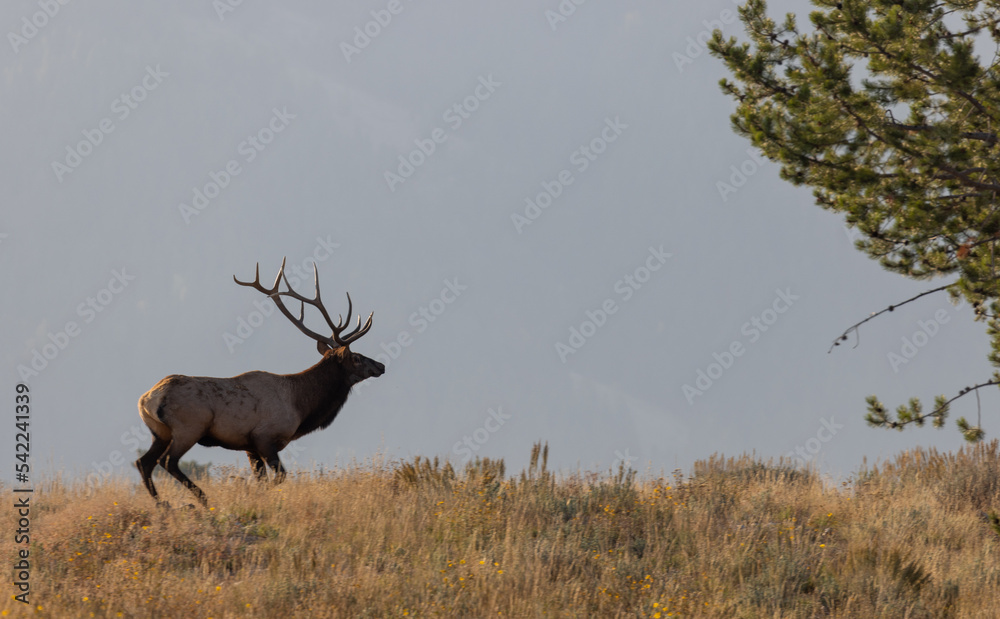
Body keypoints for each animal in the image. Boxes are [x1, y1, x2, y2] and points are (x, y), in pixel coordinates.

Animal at [135, 258, 385, 506]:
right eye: (356, 357)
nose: (381, 366)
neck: (301, 406)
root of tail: (148, 399)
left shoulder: (249, 446)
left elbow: (262, 479)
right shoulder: (263, 437)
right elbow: (279, 477)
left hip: (159, 432)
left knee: (143, 462)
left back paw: (163, 504)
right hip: (189, 427)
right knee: (167, 461)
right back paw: (202, 500)